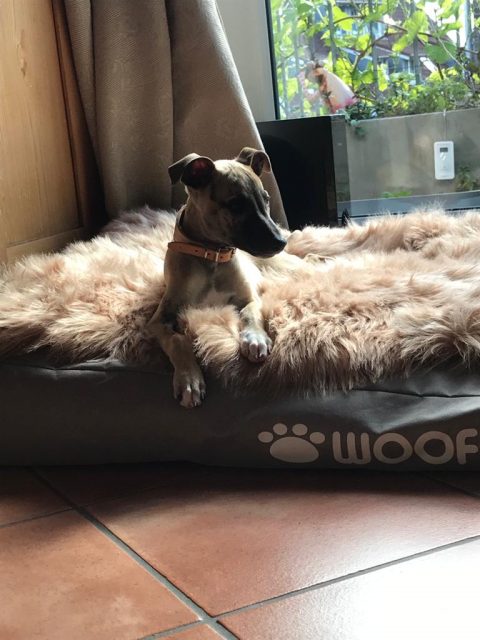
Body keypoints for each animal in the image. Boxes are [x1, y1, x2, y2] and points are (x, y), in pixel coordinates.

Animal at [147, 147, 287, 408]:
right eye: (236, 205)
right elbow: (178, 341)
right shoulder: (159, 320)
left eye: (266, 199)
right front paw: (189, 380)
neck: (211, 256)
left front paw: (255, 339)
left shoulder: (249, 298)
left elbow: (250, 314)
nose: (281, 241)